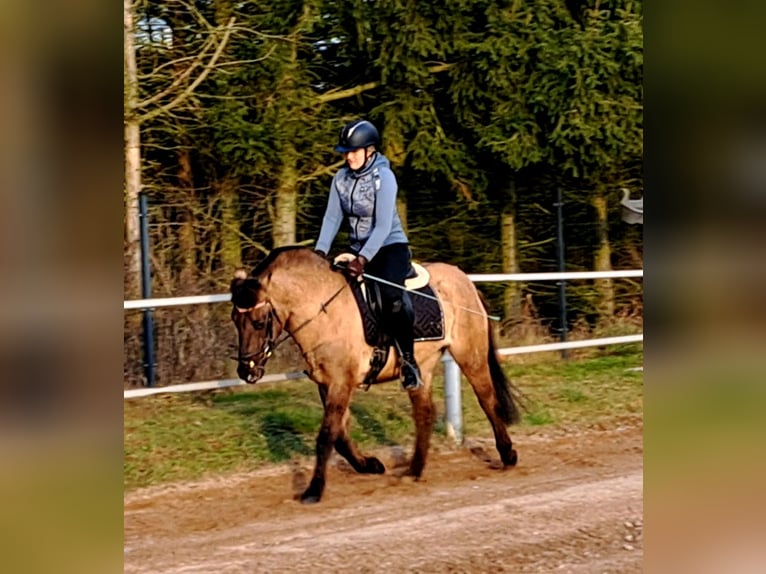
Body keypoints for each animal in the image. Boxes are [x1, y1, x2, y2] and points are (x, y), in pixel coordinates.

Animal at [229, 245, 521, 504]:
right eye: (235, 319)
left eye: (259, 322)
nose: (247, 370)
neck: (322, 308)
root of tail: (465, 280)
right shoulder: (327, 383)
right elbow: (340, 436)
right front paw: (369, 465)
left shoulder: (341, 382)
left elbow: (326, 436)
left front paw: (313, 490)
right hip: (422, 366)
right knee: (425, 413)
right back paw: (414, 470)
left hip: (470, 356)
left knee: (487, 400)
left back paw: (508, 455)